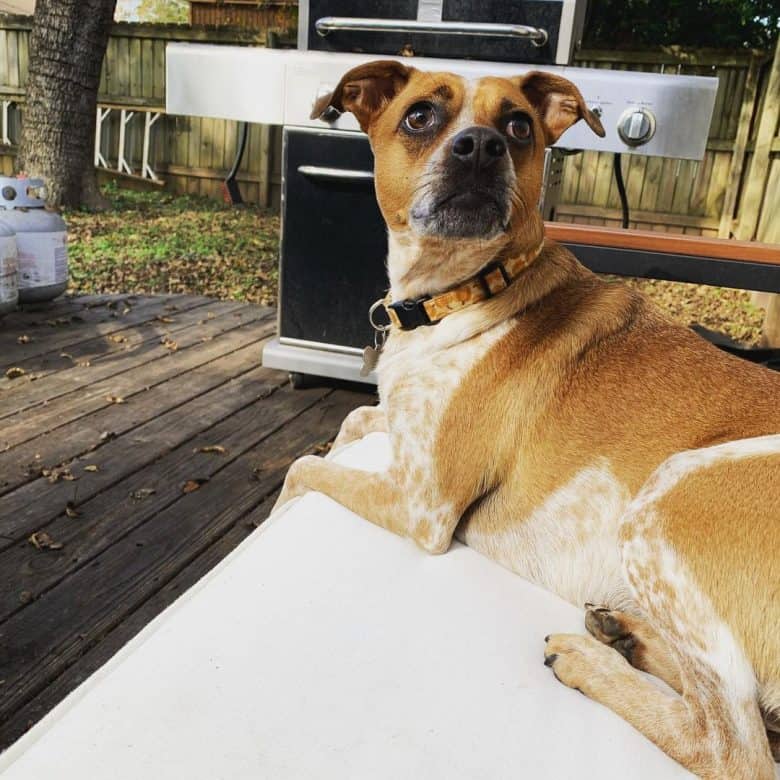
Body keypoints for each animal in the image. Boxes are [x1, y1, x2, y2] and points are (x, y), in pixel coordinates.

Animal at [274, 61, 780, 780]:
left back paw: (589, 662)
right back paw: (628, 636)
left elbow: (301, 469)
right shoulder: (402, 435)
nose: (481, 147)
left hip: (673, 494)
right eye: (420, 115)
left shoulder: (422, 509)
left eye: (517, 126)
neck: (462, 293)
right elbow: (348, 425)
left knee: (733, 747)